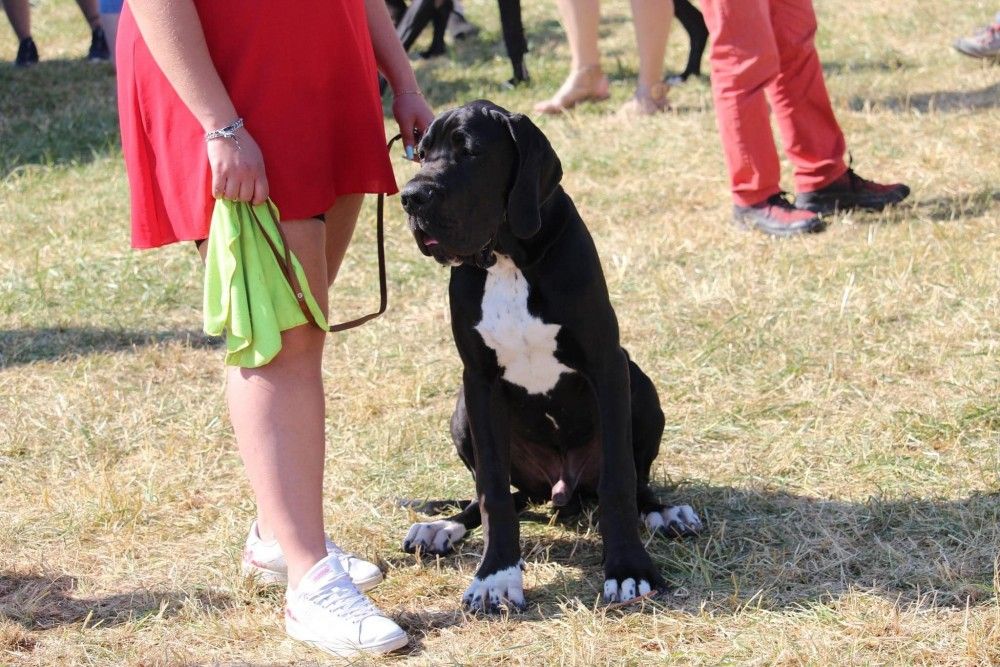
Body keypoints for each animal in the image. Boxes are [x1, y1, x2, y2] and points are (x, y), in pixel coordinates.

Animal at [399, 100, 702, 612]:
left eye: (470, 151)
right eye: (420, 154)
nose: (410, 197)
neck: (507, 257)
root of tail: (561, 488)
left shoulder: (606, 365)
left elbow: (619, 480)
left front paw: (628, 569)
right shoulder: (478, 382)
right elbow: (493, 492)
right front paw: (496, 576)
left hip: (639, 384)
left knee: (635, 479)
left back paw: (664, 512)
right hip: (461, 413)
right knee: (499, 493)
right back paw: (443, 527)